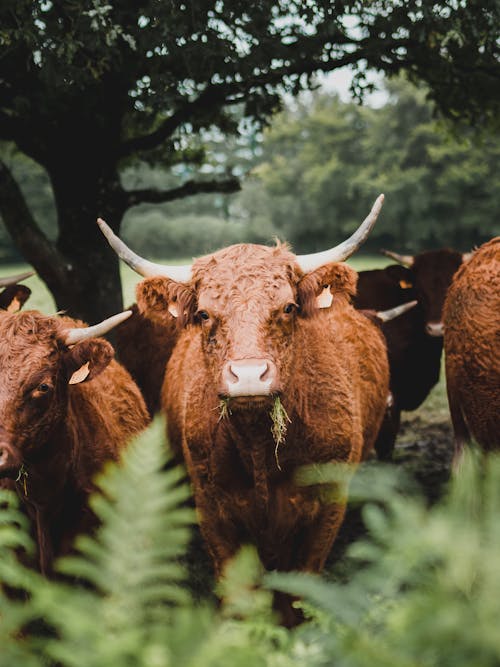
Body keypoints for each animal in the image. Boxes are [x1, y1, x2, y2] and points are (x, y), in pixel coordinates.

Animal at [98, 194, 390, 628]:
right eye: (204, 314)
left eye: (288, 307)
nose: (249, 376)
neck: (258, 449)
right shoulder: (213, 511)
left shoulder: (327, 507)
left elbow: (297, 595)